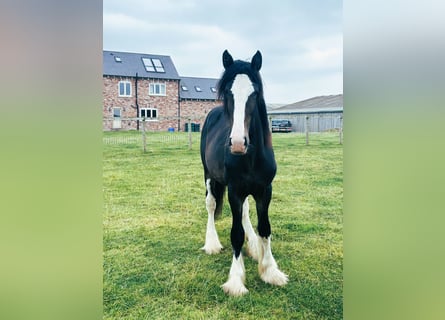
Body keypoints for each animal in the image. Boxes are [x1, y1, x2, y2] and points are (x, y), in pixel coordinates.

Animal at [199, 48, 288, 296]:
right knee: (211, 205)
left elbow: (265, 228)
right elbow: (236, 234)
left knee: (247, 213)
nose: (238, 143)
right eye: (228, 93)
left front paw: (270, 270)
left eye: (255, 93)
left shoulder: (264, 190)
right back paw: (212, 243)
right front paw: (236, 280)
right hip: (209, 176)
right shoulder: (235, 191)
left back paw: (254, 247)